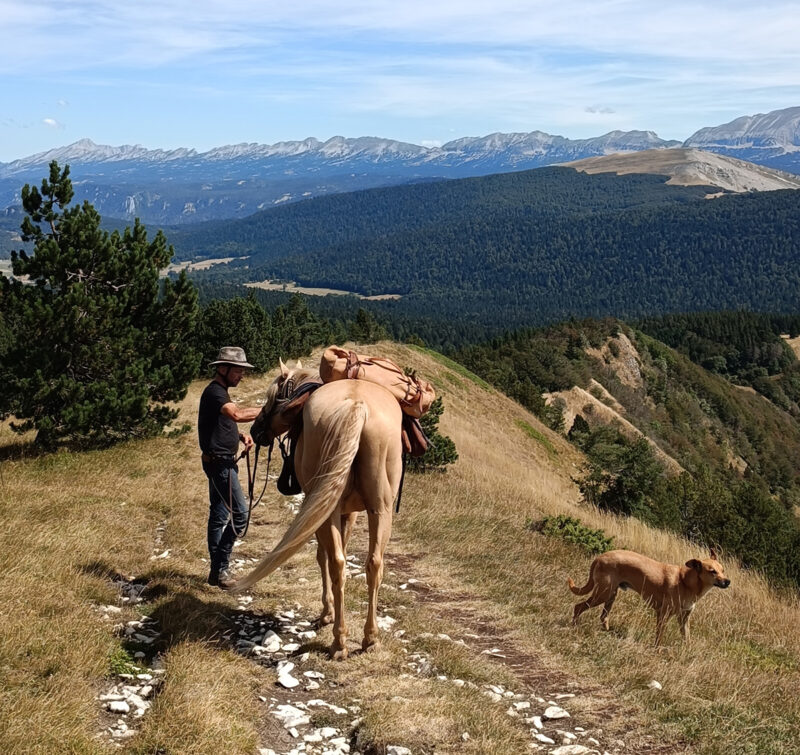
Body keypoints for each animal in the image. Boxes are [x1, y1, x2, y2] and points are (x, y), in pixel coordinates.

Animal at [233, 360, 403, 659]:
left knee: (334, 562)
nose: (255, 431)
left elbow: (321, 556)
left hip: (329, 510)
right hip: (380, 510)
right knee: (372, 564)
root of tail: (357, 406)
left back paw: (339, 641)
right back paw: (369, 639)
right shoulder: (350, 512)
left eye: (272, 397)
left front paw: (326, 612)